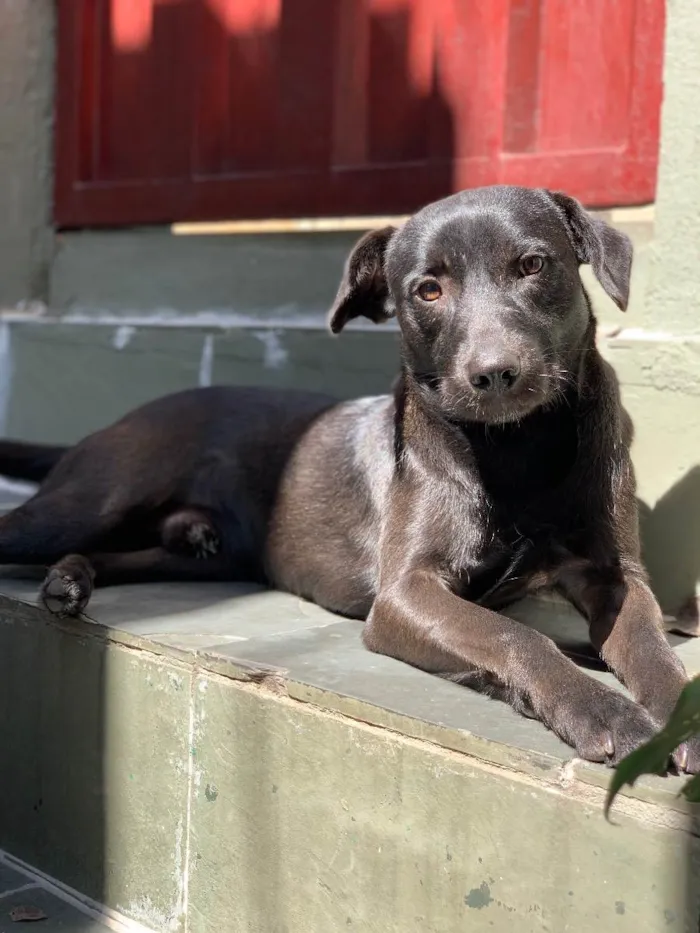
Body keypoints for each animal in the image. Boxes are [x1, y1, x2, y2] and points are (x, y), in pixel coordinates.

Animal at [0, 186, 696, 768]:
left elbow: (652, 649)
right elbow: (517, 637)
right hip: (87, 503)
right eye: (427, 290)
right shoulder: (405, 595)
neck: (518, 448)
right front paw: (603, 711)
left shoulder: (614, 576)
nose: (495, 373)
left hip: (205, 559)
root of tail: (130, 414)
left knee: (115, 556)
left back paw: (70, 582)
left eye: (532, 265)